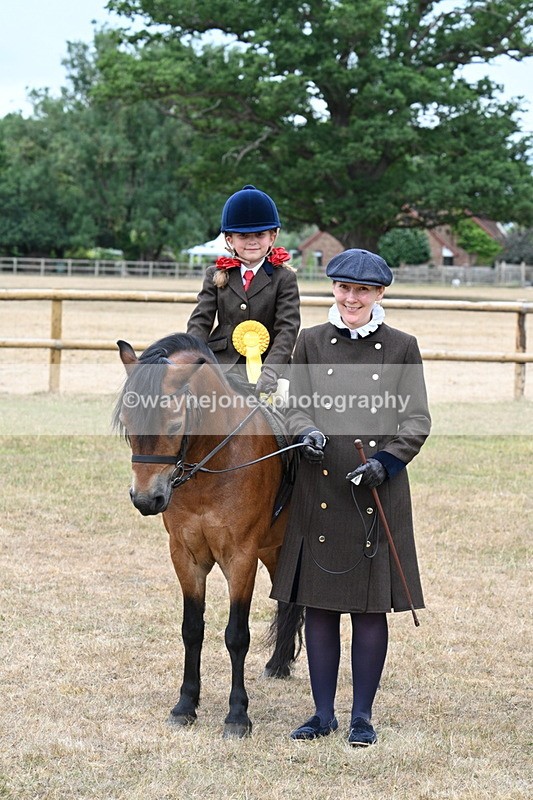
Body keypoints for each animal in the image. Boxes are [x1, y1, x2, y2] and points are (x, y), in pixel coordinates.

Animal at [113, 333, 303, 738]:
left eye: (173, 424)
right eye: (126, 422)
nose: (146, 499)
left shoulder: (240, 558)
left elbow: (236, 635)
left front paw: (237, 715)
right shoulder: (186, 556)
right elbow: (192, 629)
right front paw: (185, 705)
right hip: (273, 549)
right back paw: (278, 664)